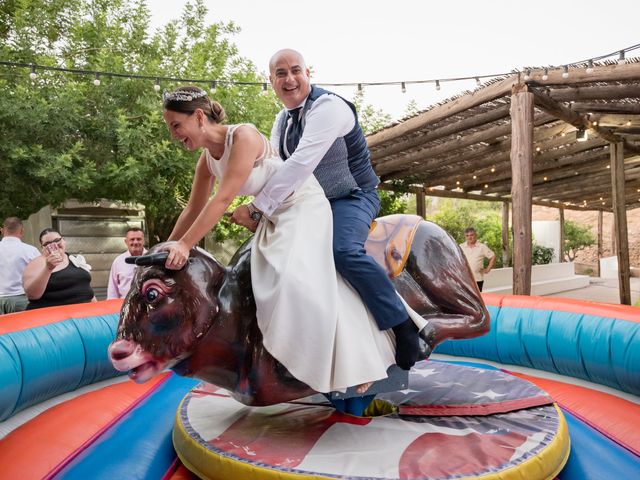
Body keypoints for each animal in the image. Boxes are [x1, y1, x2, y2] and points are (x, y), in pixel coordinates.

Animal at [110, 216, 490, 406]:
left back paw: (419, 340)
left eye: (153, 293)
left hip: (433, 260)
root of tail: (435, 226)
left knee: (479, 317)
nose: (118, 351)